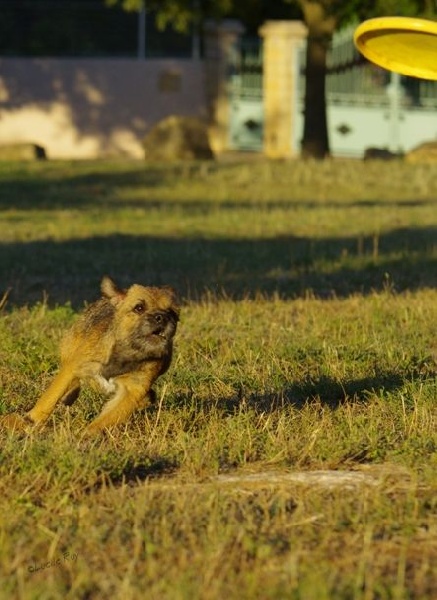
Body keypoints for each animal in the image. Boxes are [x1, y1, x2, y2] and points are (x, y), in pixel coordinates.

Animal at [0, 278, 179, 434]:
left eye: (172, 313)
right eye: (139, 308)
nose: (162, 317)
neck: (125, 354)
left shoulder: (132, 390)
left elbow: (108, 417)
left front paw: (87, 435)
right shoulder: (76, 366)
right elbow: (49, 397)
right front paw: (28, 420)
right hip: (69, 346)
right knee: (70, 379)